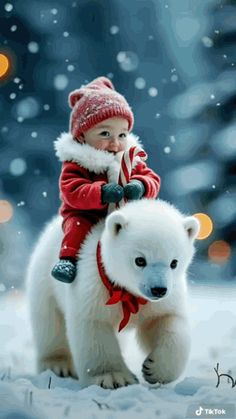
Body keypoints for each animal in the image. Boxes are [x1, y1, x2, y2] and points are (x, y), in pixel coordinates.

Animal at [25, 199, 199, 388]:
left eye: (174, 262)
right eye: (140, 260)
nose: (158, 289)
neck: (128, 293)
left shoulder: (163, 300)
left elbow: (169, 321)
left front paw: (154, 369)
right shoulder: (94, 288)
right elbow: (95, 327)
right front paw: (113, 377)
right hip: (45, 281)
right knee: (50, 324)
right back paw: (58, 365)